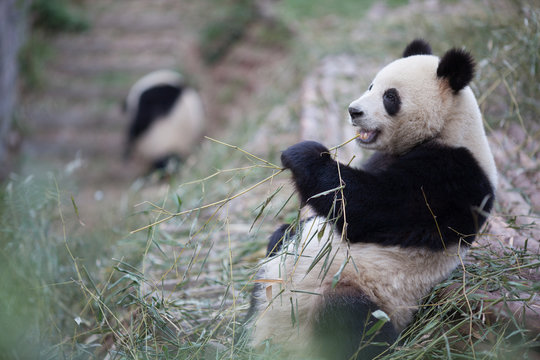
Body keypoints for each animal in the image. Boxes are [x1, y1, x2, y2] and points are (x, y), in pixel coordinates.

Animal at [249, 40, 498, 360]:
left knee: (349, 317)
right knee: (278, 243)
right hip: (276, 269)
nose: (354, 111)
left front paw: (304, 153)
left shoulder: (452, 178)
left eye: (390, 96)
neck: (449, 128)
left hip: (366, 295)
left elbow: (367, 206)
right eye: (370, 85)